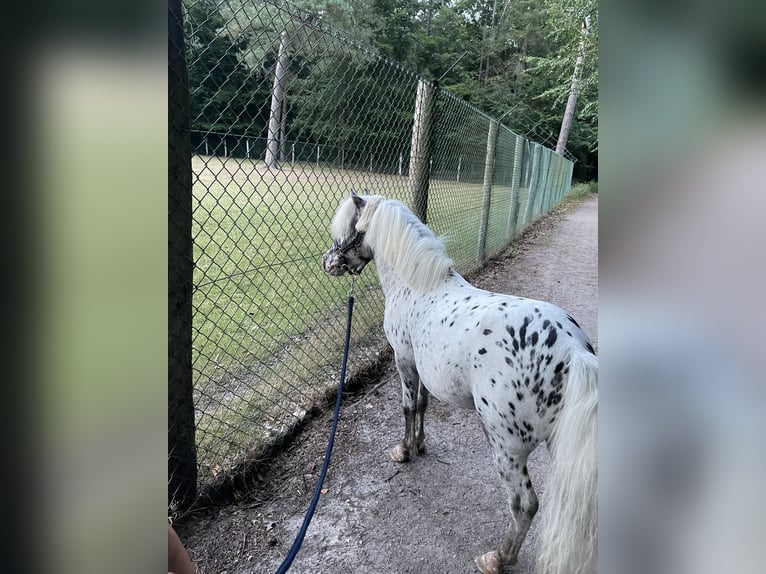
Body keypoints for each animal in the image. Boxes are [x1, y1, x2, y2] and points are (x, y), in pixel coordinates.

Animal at [324, 195, 600, 574]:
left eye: (348, 229)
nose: (328, 262)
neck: (419, 285)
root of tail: (573, 351)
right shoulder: (423, 368)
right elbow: (422, 405)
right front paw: (420, 444)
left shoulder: (404, 361)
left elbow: (407, 407)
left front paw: (404, 451)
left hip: (506, 446)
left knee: (524, 504)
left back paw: (497, 558)